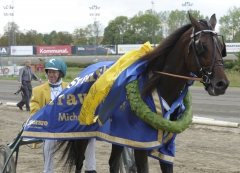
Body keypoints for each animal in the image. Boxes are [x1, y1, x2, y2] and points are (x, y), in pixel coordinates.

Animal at [54, 13, 229, 173]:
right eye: (201, 46)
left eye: (221, 47)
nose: (222, 84)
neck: (159, 87)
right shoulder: (140, 143)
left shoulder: (165, 145)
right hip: (82, 131)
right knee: (79, 160)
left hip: (118, 136)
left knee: (113, 162)